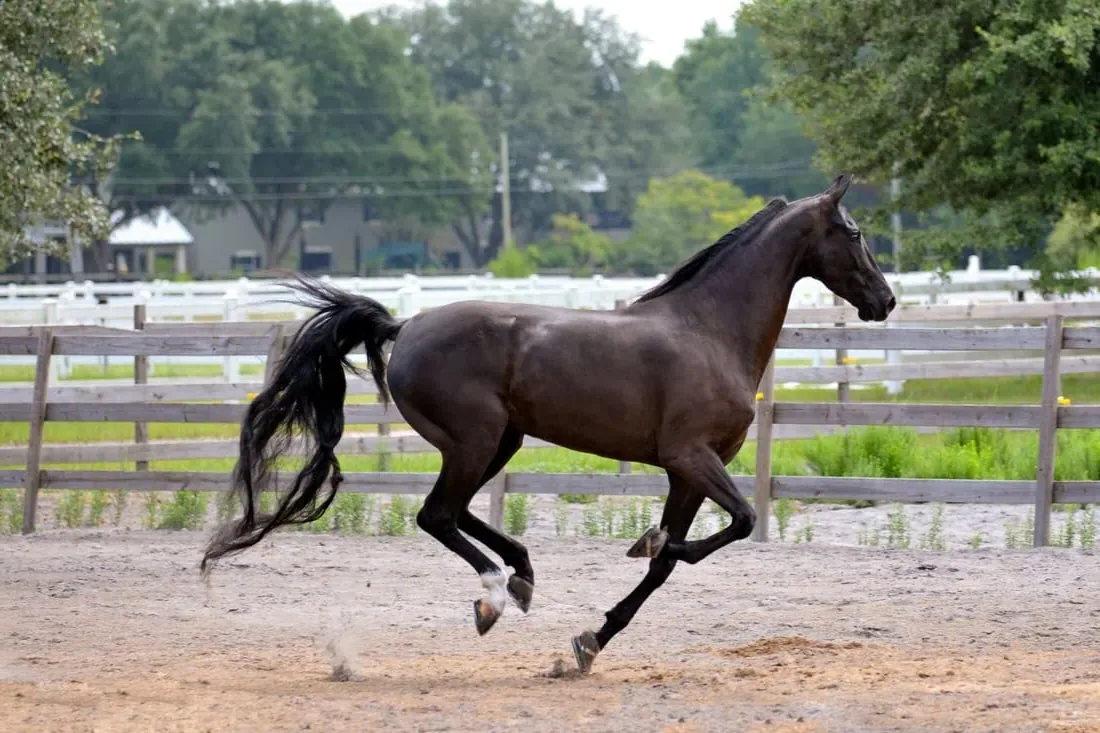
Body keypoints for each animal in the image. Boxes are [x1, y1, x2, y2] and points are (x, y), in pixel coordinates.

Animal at [200, 173, 895, 674]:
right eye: (855, 231)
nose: (885, 301)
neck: (710, 331)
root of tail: (406, 325)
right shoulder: (692, 458)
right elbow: (737, 525)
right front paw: (642, 549)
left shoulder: (688, 474)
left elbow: (669, 564)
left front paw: (591, 640)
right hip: (475, 440)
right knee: (437, 515)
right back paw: (493, 596)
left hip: (500, 442)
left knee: (458, 513)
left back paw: (523, 576)